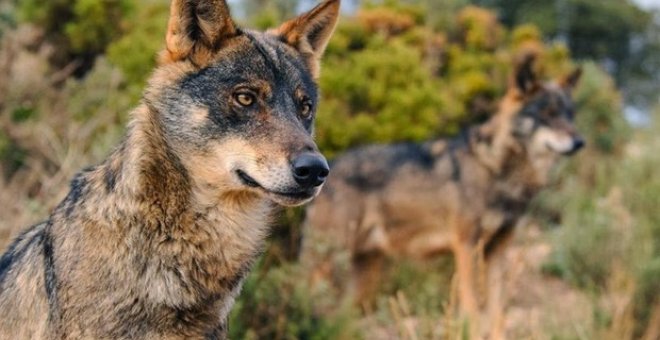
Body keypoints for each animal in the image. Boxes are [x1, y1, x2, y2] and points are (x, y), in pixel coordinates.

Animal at [302, 53, 584, 338]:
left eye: (570, 115)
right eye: (547, 114)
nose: (579, 142)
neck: (496, 169)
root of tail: (327, 169)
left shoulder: (498, 251)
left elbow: (497, 312)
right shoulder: (466, 246)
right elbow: (472, 308)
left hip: (363, 274)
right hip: (328, 264)